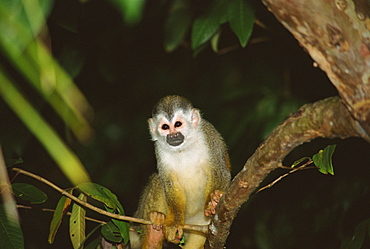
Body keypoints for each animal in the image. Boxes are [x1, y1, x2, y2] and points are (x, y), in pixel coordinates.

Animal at [133, 94, 231, 248]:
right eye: (165, 127)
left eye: (178, 124)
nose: (173, 136)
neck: (183, 147)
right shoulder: (158, 149)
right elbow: (170, 184)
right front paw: (174, 222)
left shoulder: (210, 134)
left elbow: (221, 171)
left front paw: (213, 201)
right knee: (158, 180)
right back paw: (153, 238)